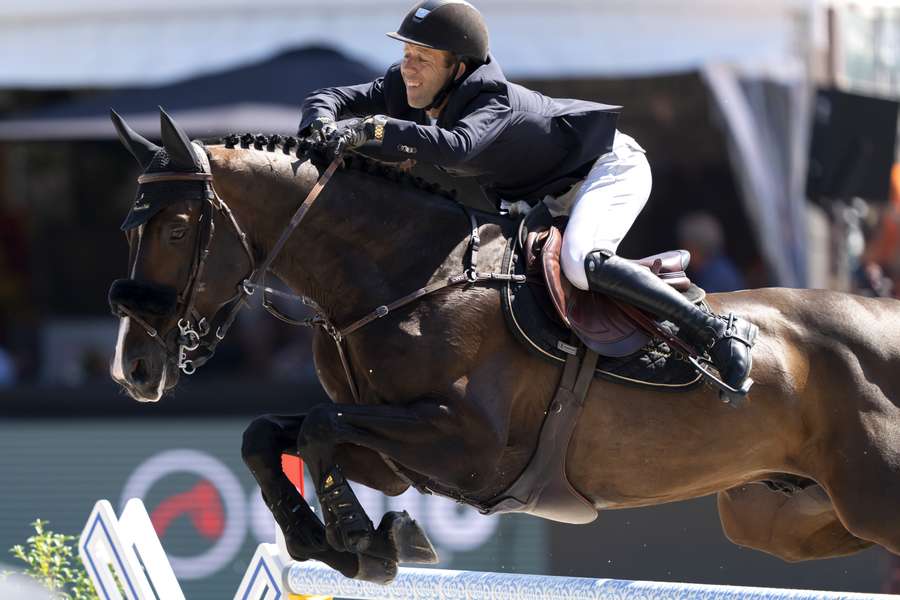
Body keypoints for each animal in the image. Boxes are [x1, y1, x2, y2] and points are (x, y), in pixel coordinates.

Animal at [107, 110, 892, 584]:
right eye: (130, 229)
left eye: (176, 228)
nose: (134, 371)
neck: (407, 279)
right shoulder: (401, 460)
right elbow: (271, 435)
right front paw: (336, 541)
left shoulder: (467, 447)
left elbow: (320, 428)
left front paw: (365, 542)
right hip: (786, 516)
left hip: (867, 497)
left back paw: (728, 351)